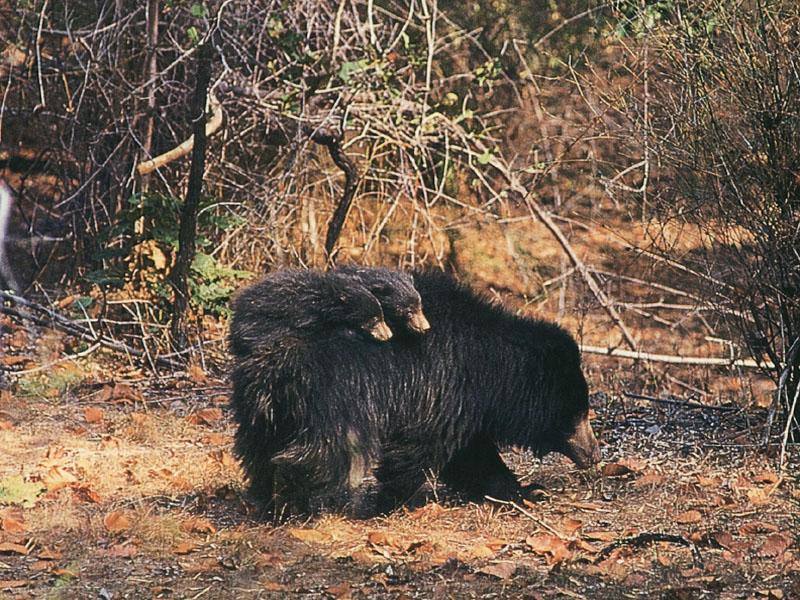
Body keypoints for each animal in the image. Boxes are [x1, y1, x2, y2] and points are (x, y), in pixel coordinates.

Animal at [228, 270, 596, 512]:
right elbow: (419, 449)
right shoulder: (442, 387)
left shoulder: (463, 404)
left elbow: (473, 457)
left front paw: (526, 491)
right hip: (331, 396)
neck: (491, 370)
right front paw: (387, 502)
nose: (594, 453)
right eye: (579, 413)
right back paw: (297, 497)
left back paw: (264, 495)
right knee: (326, 451)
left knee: (256, 448)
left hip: (262, 406)